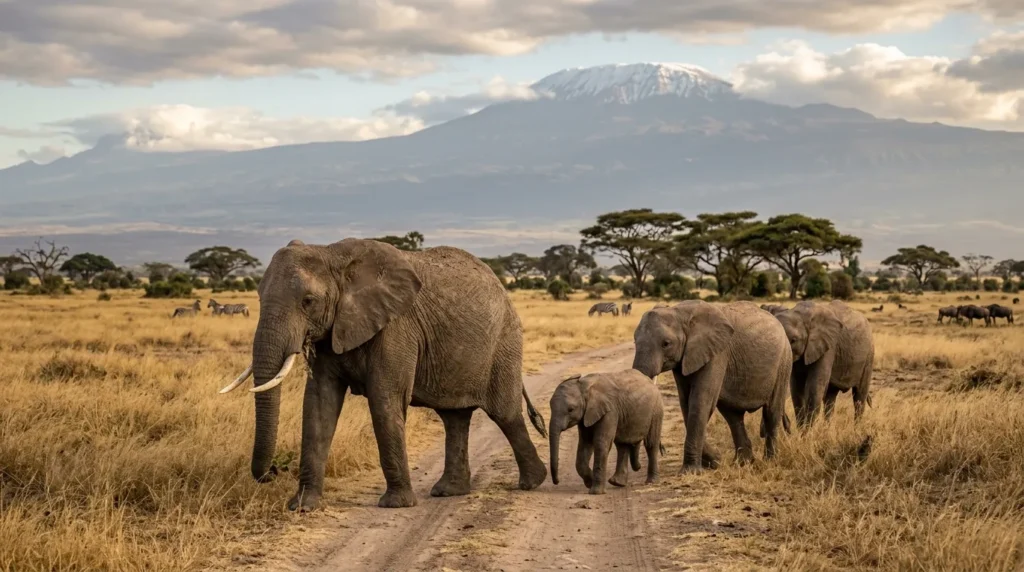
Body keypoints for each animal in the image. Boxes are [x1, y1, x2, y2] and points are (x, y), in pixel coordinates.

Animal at [219, 238, 549, 510]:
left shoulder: (396, 327)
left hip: (504, 342)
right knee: (454, 418)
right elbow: (318, 406)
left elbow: (384, 401)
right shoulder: (332, 331)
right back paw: (449, 491)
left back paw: (533, 482)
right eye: (258, 299)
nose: (274, 472)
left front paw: (396, 505)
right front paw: (301, 506)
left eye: (308, 301)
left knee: (505, 414)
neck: (332, 254)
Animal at [632, 301, 792, 473]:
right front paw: (715, 461)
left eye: (666, 344)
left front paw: (691, 471)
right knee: (733, 416)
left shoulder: (717, 354)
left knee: (771, 411)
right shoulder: (685, 359)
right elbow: (686, 404)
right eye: (634, 341)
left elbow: (700, 402)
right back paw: (742, 463)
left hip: (784, 361)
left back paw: (770, 461)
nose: (663, 450)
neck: (679, 312)